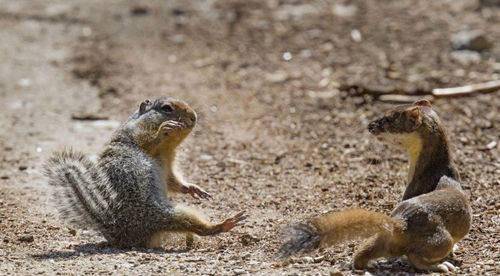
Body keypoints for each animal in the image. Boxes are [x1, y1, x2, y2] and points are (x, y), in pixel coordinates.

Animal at [44, 97, 246, 248]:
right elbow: (149, 140)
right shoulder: (138, 136)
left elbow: (173, 181)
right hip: (163, 215)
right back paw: (223, 224)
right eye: (166, 108)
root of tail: (120, 235)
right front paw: (165, 128)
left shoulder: (168, 165)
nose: (194, 117)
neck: (165, 149)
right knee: (197, 227)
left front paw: (193, 188)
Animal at [280, 99, 470, 272]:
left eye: (388, 118)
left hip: (430, 238)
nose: (369, 125)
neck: (435, 167)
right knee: (407, 255)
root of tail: (400, 222)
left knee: (376, 251)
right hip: (437, 238)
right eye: (385, 112)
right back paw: (441, 265)